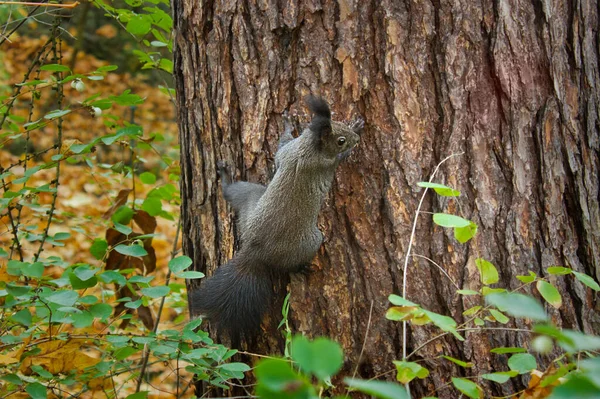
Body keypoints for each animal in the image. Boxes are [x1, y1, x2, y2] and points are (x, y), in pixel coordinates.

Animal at [190, 97, 364, 346]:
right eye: (340, 140)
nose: (355, 138)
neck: (307, 148)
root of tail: (254, 250)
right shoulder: (324, 163)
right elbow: (339, 160)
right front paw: (356, 134)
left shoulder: (286, 152)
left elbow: (280, 146)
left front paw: (288, 124)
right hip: (310, 241)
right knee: (291, 265)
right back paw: (302, 267)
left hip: (249, 198)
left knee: (231, 193)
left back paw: (224, 177)